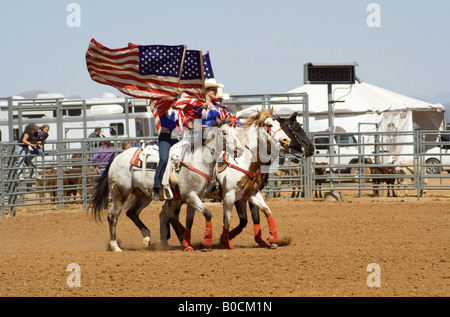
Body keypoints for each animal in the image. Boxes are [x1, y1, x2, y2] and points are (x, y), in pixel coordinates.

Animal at [89, 119, 241, 252]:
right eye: (225, 133)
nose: (239, 149)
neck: (196, 161)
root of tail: (117, 158)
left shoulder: (193, 197)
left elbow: (189, 222)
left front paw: (188, 244)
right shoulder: (190, 196)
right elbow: (207, 213)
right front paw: (206, 241)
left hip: (143, 195)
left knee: (132, 213)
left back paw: (147, 237)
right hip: (120, 194)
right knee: (113, 217)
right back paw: (115, 247)